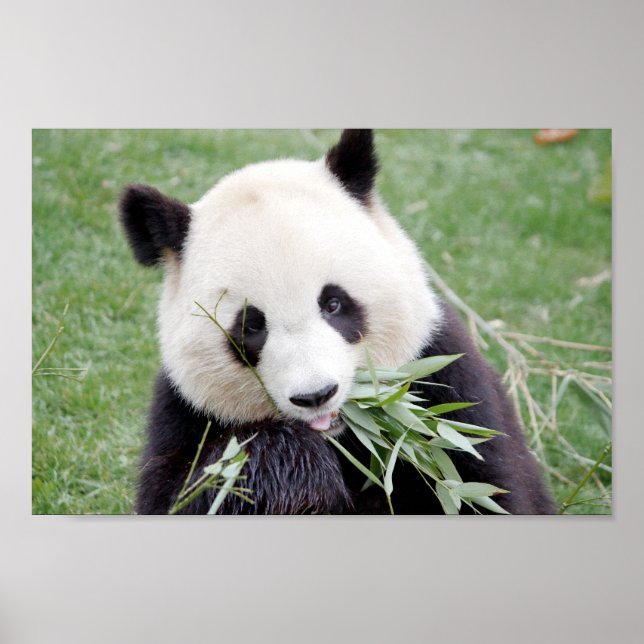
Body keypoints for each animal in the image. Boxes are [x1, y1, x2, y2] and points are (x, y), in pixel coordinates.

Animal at [119, 129, 554, 515]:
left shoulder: (446, 382)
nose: (315, 395)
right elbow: (187, 493)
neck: (342, 437)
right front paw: (291, 469)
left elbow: (484, 490)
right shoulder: (187, 412)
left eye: (332, 304)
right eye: (251, 327)